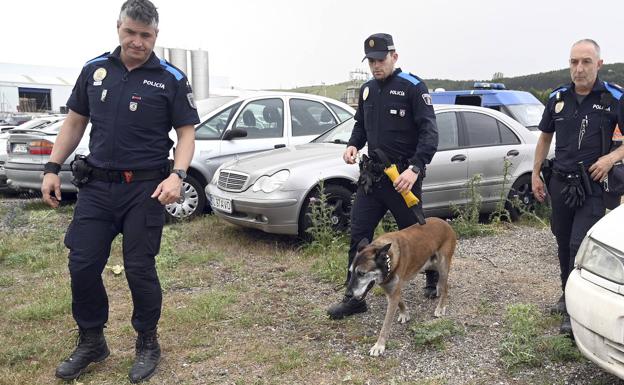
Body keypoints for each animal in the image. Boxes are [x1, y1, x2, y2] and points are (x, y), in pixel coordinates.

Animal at [346, 218, 454, 356]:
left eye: (361, 273)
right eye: (350, 272)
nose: (348, 294)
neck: (389, 259)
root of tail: (444, 222)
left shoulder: (393, 291)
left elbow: (386, 325)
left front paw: (379, 345)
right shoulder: (390, 289)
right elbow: (400, 302)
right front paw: (404, 313)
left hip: (443, 265)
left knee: (446, 286)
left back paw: (440, 307)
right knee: (442, 283)